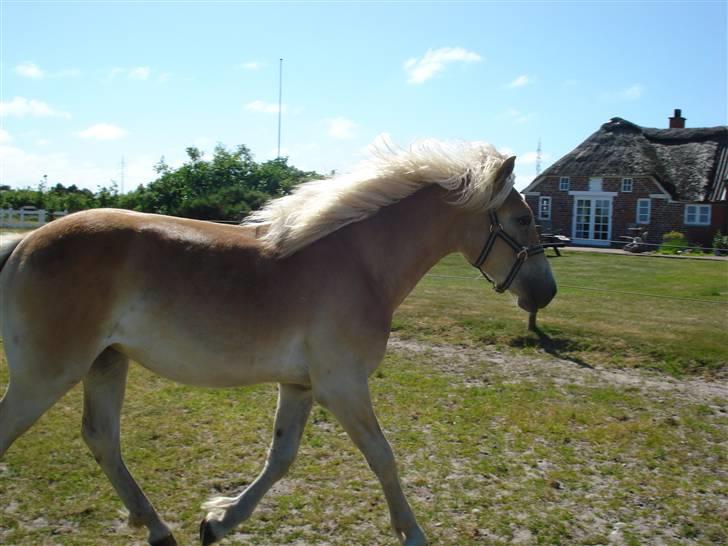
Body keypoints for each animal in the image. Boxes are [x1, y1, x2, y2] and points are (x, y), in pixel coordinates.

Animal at [1, 137, 556, 544]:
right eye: (524, 218)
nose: (546, 292)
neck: (360, 263)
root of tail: (23, 242)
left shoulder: (301, 386)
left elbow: (281, 457)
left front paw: (218, 521)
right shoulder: (343, 386)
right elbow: (382, 456)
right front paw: (413, 533)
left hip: (106, 363)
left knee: (103, 440)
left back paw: (158, 529)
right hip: (47, 374)